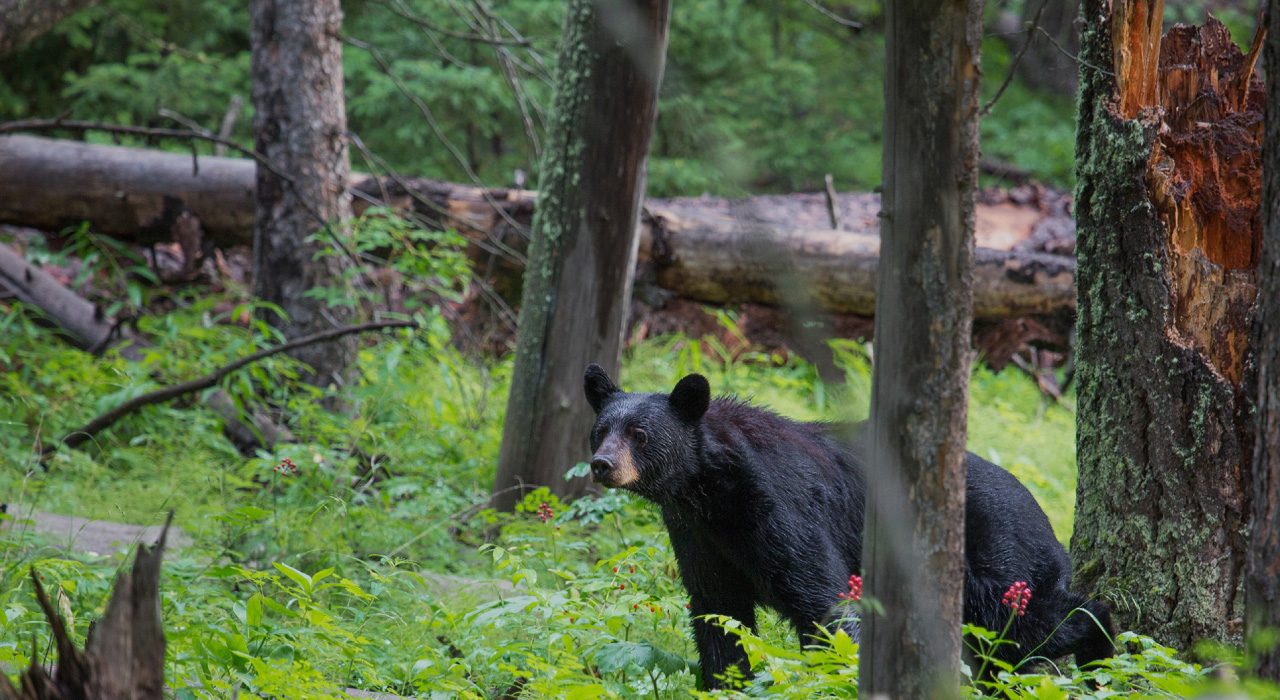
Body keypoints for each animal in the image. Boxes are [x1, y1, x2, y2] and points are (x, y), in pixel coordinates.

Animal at [581, 363, 1111, 691]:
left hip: (997, 559)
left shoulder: (782, 510)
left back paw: (1102, 650)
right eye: (601, 430)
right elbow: (718, 615)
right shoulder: (698, 536)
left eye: (640, 434)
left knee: (1029, 627)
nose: (602, 464)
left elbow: (824, 600)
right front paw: (725, 683)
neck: (710, 488)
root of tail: (1044, 517)